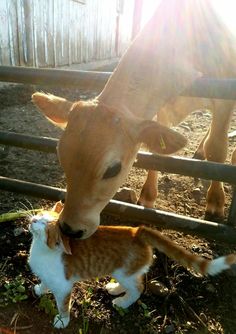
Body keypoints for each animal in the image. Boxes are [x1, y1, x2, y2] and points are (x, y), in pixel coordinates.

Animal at [28, 202, 236, 328]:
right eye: (40, 214)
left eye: (46, 226)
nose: (34, 219)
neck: (41, 251)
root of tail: (138, 231)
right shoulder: (49, 277)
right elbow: (45, 282)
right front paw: (40, 289)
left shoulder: (63, 287)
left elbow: (63, 305)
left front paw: (62, 321)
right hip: (123, 270)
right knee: (136, 281)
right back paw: (115, 289)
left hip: (123, 271)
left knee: (138, 288)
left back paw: (122, 301)